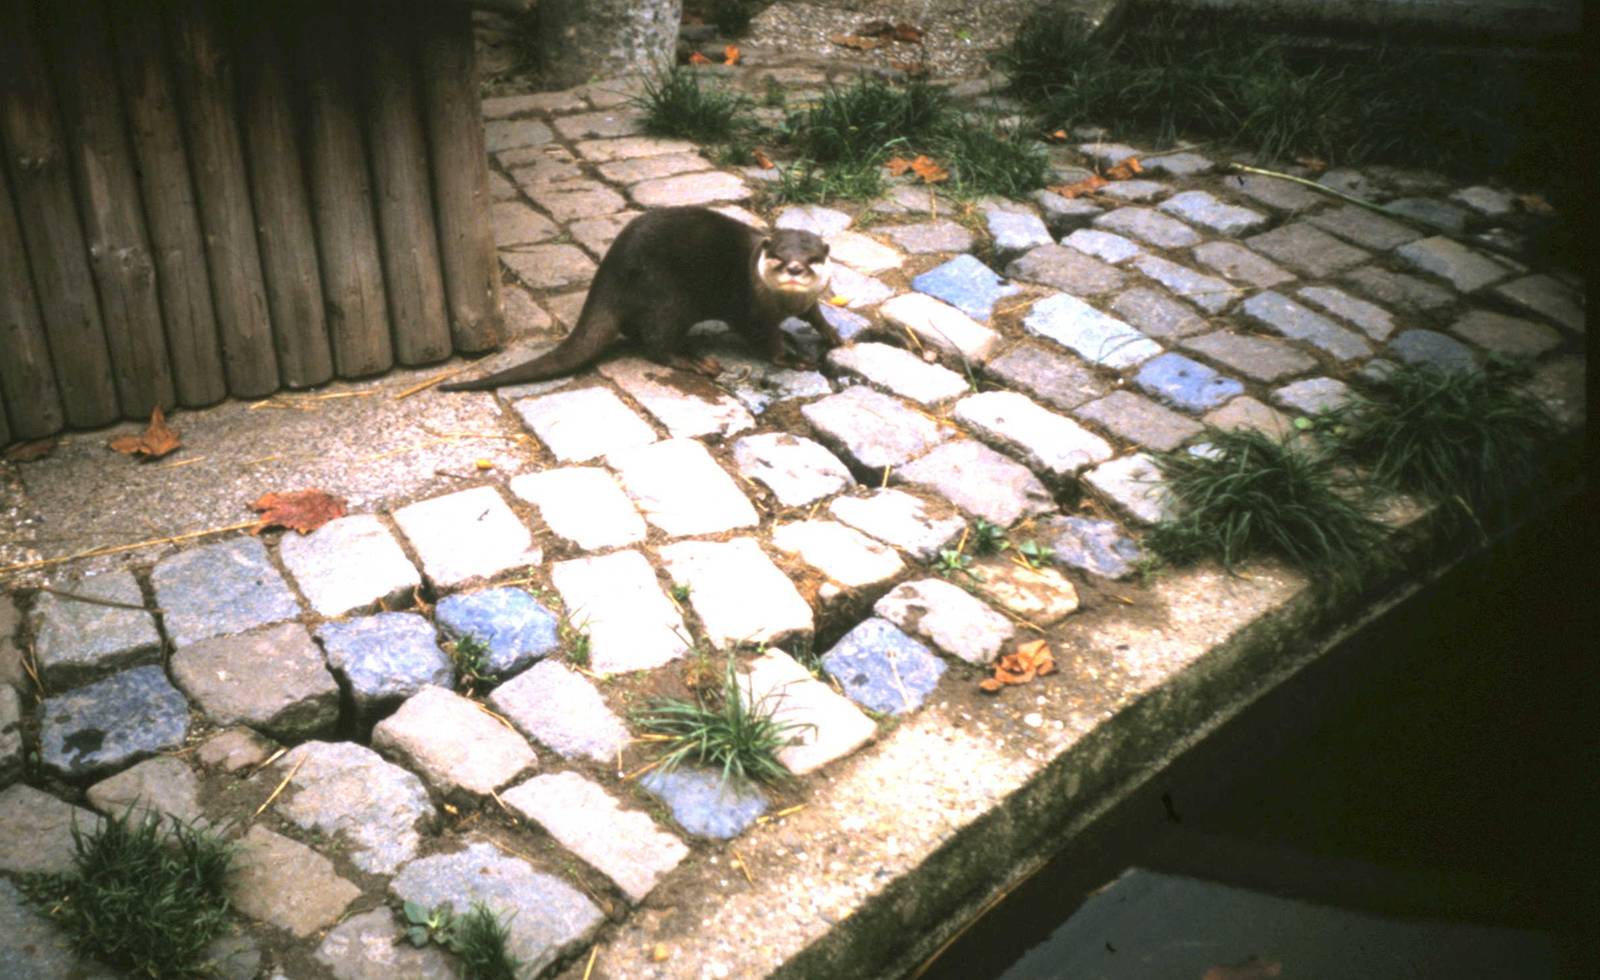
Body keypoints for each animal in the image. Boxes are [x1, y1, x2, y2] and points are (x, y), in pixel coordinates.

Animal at [441, 207, 839, 391]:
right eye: (779, 255)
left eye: (811, 259)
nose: (793, 268)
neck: (781, 304)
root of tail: (608, 272)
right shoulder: (750, 310)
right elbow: (765, 340)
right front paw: (791, 357)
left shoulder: (805, 302)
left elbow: (815, 314)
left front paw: (833, 336)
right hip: (668, 297)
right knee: (655, 344)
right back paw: (695, 361)